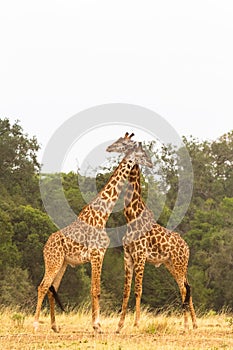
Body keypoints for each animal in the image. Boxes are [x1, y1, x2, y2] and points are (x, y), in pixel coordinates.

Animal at [33, 138, 153, 332]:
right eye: (142, 153)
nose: (150, 163)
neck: (103, 214)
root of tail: (45, 246)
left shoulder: (100, 254)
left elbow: (95, 289)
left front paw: (97, 324)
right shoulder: (96, 254)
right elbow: (95, 290)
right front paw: (97, 325)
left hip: (62, 264)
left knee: (52, 289)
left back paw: (55, 326)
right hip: (53, 261)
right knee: (42, 287)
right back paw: (36, 324)